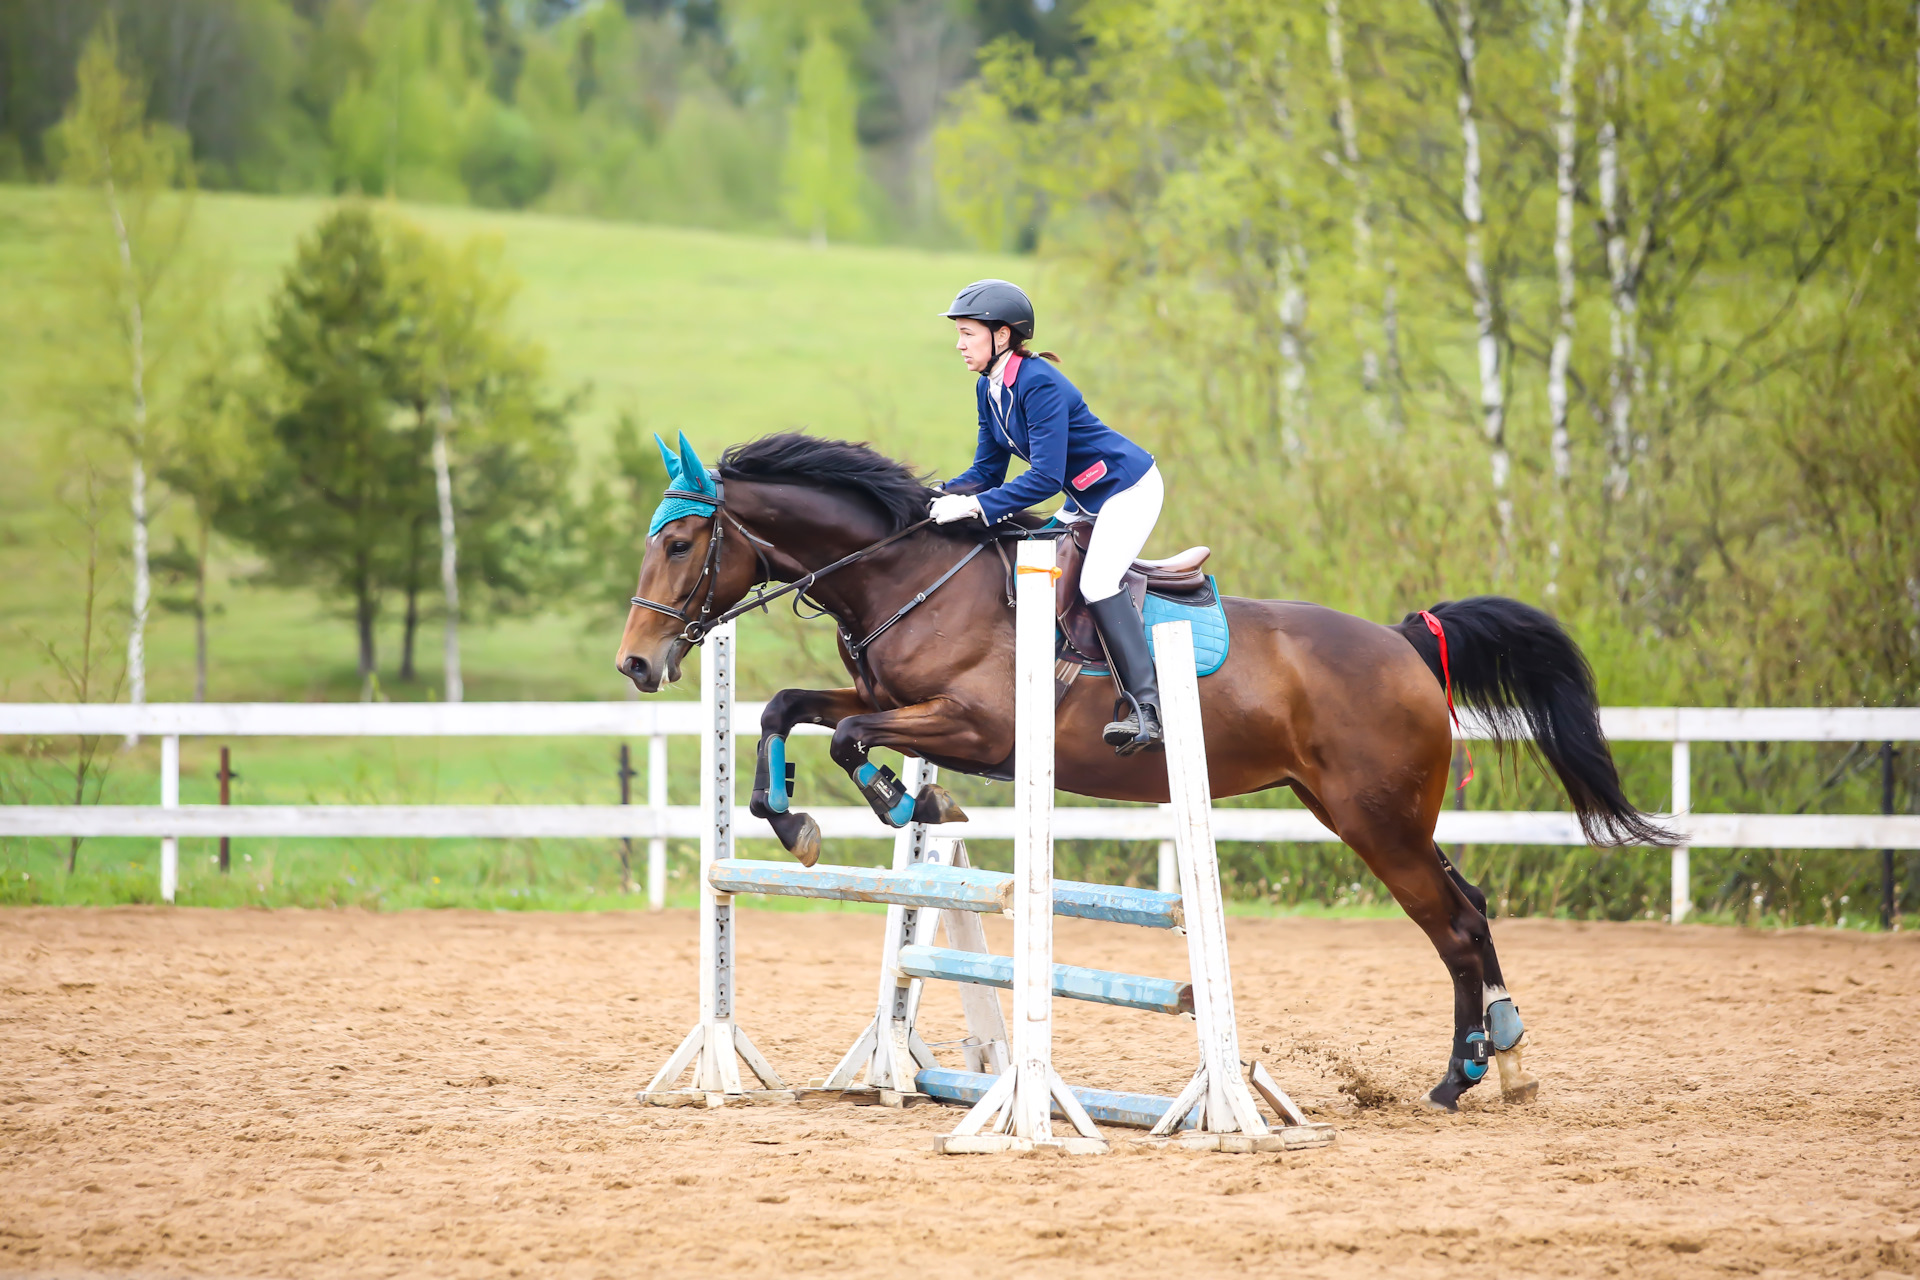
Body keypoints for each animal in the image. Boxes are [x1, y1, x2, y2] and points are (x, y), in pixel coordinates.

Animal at [614, 433, 1666, 1113]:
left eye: (679, 543)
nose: (636, 665)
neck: (909, 579)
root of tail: (1408, 642)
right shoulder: (883, 699)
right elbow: (787, 710)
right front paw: (793, 817)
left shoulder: (979, 729)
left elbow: (848, 741)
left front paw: (894, 799)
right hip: (1359, 813)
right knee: (1469, 912)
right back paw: (1498, 1059)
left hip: (1377, 820)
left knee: (1451, 924)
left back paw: (1461, 1075)